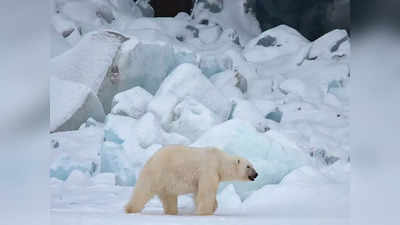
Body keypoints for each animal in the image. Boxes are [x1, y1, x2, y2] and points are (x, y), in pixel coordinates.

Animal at [123, 145, 258, 215]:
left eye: (252, 165)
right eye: (248, 166)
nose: (256, 174)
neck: (219, 160)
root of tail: (151, 158)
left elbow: (199, 193)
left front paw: (211, 208)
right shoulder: (209, 170)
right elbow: (206, 192)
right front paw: (206, 211)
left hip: (166, 182)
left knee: (169, 197)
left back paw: (172, 212)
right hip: (158, 173)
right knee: (143, 190)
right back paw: (130, 209)